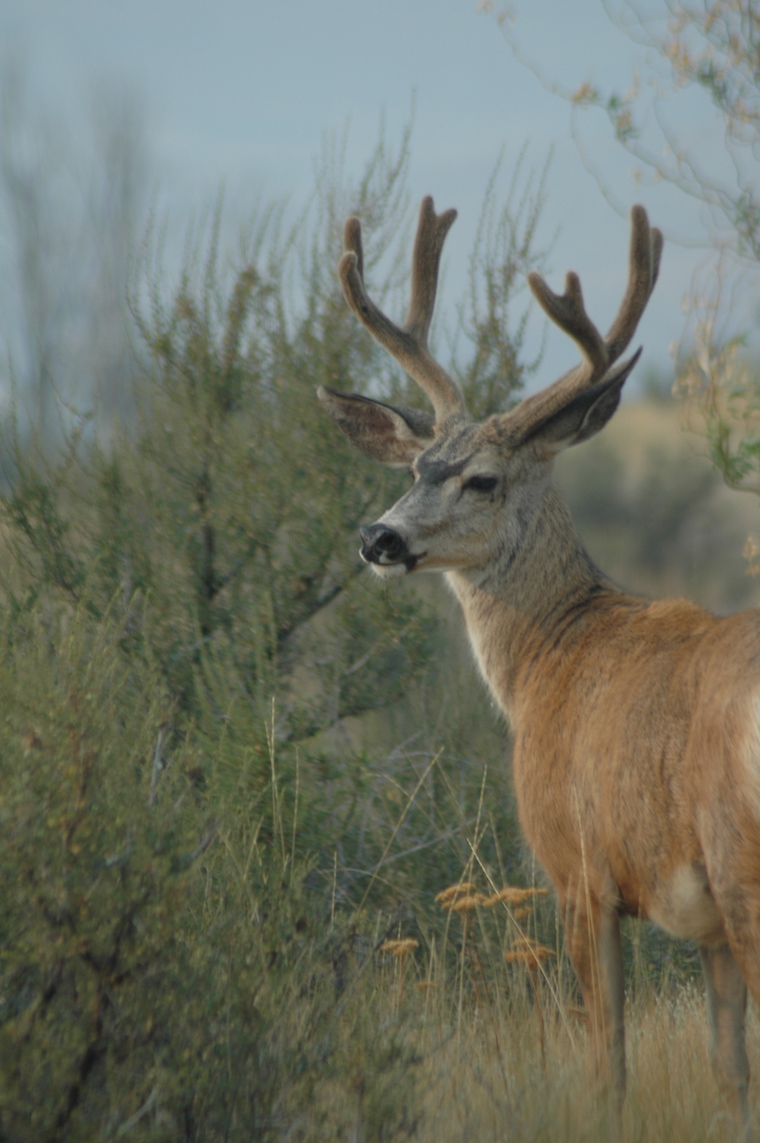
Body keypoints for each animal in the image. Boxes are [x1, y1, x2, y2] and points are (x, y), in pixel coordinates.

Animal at [317, 194, 760, 1137]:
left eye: (482, 479)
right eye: (418, 464)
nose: (378, 537)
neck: (552, 657)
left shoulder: (578, 867)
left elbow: (607, 1064)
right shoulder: (702, 926)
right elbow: (730, 1074)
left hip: (741, 857)